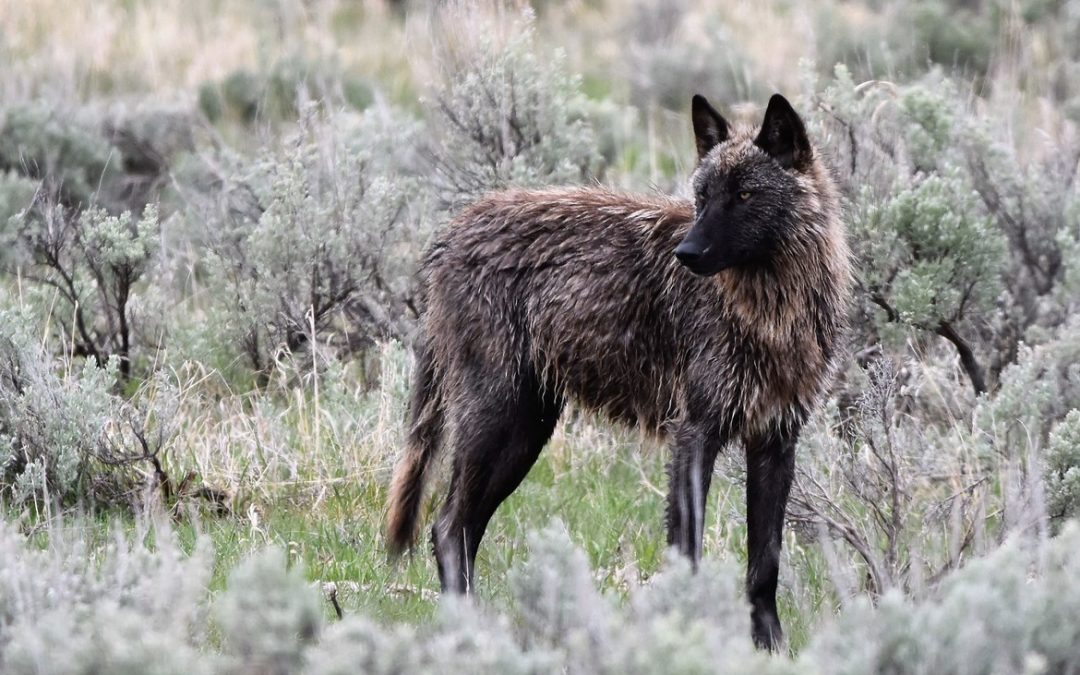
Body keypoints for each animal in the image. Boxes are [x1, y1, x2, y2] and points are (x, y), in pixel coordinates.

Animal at [386, 93, 851, 650]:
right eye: (702, 195)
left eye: (743, 194)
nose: (686, 253)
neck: (769, 313)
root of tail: (450, 233)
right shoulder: (695, 434)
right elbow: (688, 553)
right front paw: (689, 632)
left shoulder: (776, 441)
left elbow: (765, 565)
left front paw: (772, 649)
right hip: (497, 423)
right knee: (447, 525)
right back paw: (473, 634)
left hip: (525, 432)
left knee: (460, 527)